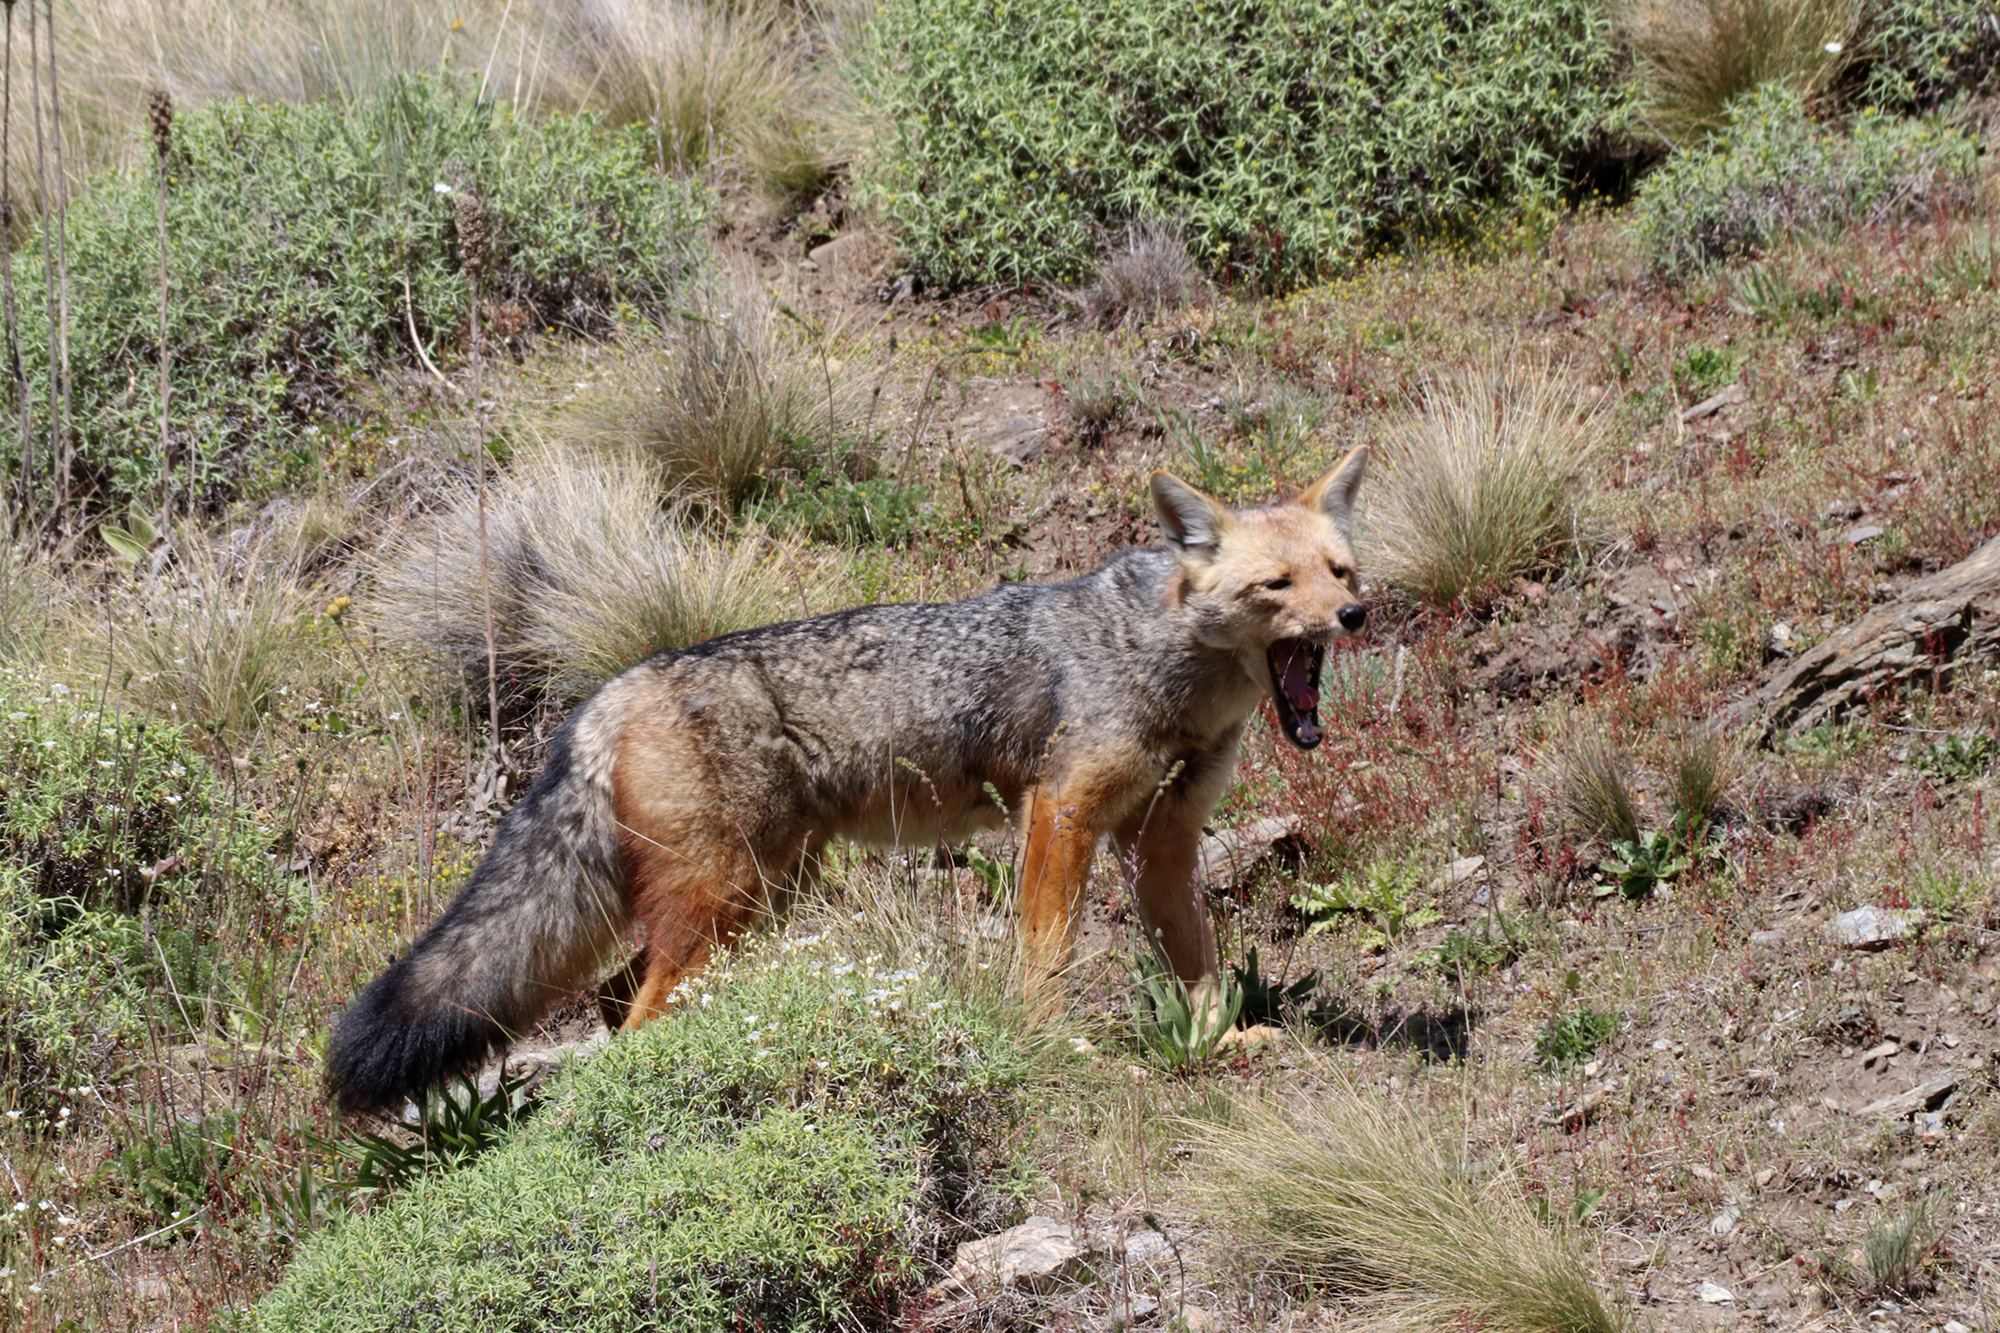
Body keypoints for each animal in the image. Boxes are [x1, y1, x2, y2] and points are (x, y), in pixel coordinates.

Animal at [328, 446, 1368, 1112]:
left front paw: (1218, 1040)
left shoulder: (1161, 839)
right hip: (726, 903)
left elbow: (1196, 961)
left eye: (1341, 570)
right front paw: (1054, 1044)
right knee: (638, 1014)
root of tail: (610, 691)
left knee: (618, 998)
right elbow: (1045, 956)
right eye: (1277, 586)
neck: (1164, 664)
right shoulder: (1061, 814)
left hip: (757, 900)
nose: (1358, 614)